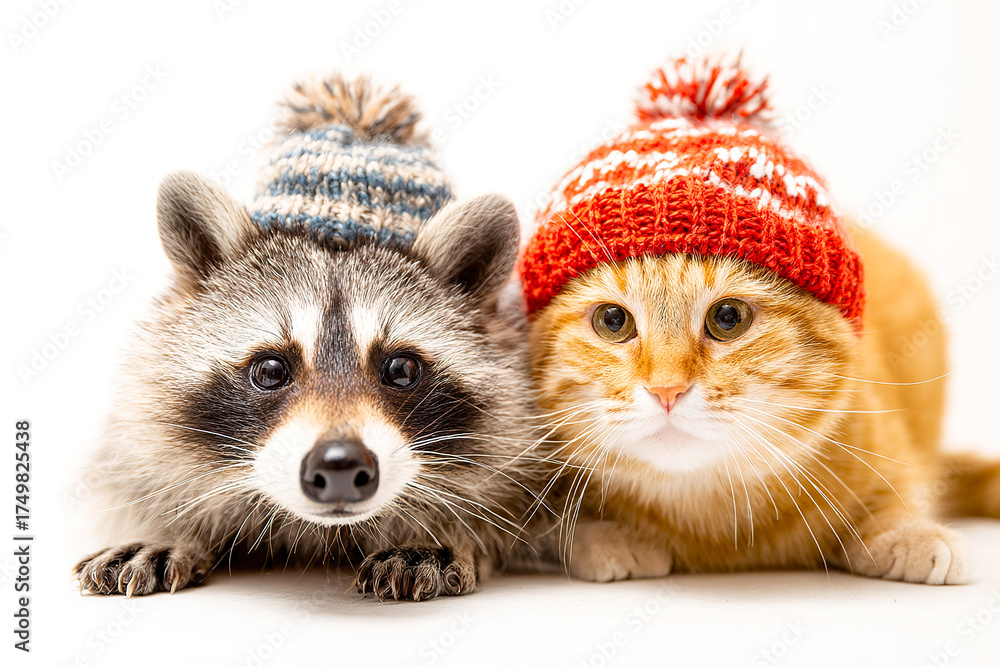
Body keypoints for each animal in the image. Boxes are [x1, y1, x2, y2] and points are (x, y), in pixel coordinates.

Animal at [72, 75, 546, 601]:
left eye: (401, 369)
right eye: (271, 369)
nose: (339, 465)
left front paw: (440, 529)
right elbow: (138, 454)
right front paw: (164, 522)